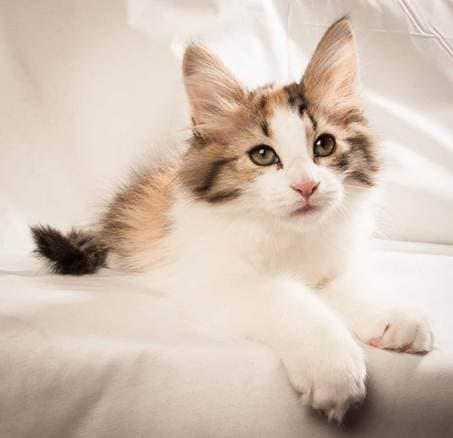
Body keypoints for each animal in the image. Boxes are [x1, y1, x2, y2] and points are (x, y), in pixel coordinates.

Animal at [31, 17, 433, 422]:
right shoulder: (215, 280)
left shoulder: (331, 264)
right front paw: (333, 368)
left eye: (324, 145)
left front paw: (393, 315)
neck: (285, 236)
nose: (306, 186)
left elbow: (354, 285)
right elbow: (289, 300)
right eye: (262, 155)